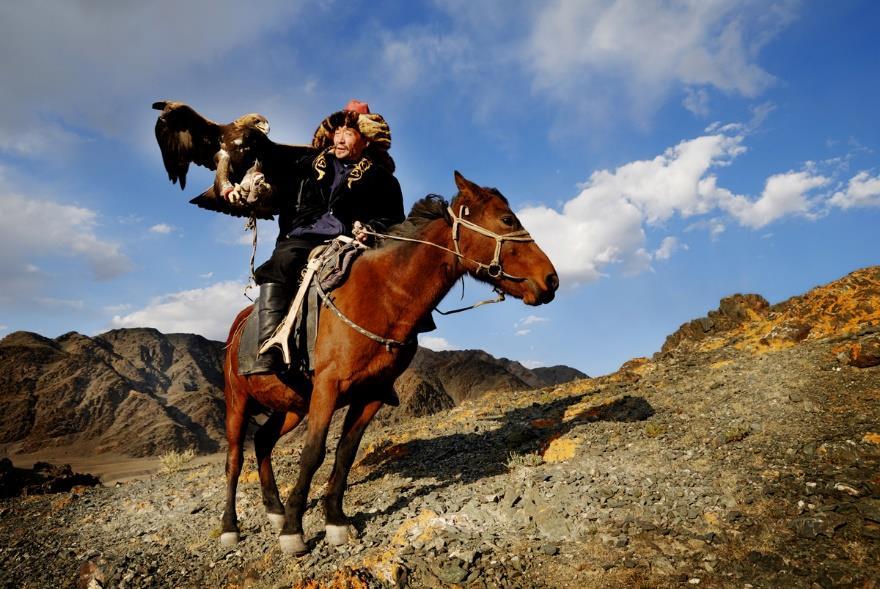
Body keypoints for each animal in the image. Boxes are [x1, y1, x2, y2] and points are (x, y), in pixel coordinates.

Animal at [220, 169, 556, 552]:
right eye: (507, 219)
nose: (551, 279)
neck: (382, 295)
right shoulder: (327, 388)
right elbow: (314, 452)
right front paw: (293, 530)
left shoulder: (372, 394)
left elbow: (345, 453)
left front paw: (335, 521)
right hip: (239, 401)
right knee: (235, 458)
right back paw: (231, 527)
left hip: (292, 404)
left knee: (263, 441)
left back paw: (273, 510)